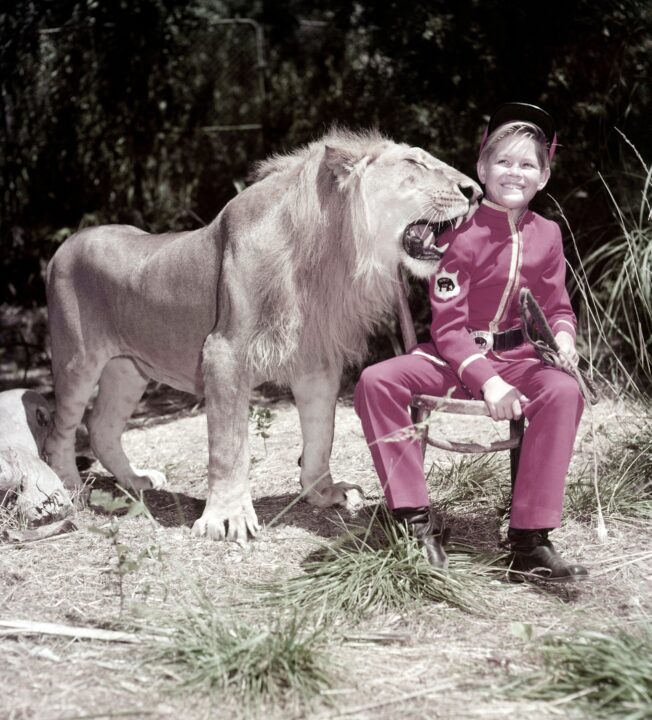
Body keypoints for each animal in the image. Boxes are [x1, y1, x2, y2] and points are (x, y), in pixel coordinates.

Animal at [45, 128, 482, 540]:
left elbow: (321, 434)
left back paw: (136, 480)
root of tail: (65, 245)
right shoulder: (224, 352)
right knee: (61, 429)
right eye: (414, 162)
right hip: (77, 361)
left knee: (102, 427)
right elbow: (229, 447)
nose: (475, 192)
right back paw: (68, 488)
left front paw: (322, 492)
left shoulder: (316, 361)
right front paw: (227, 517)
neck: (328, 254)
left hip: (127, 369)